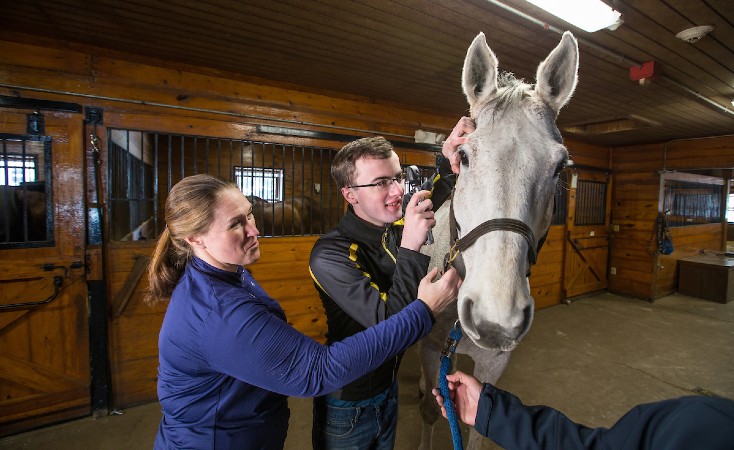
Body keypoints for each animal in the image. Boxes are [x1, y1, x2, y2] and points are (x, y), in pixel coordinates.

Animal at [416, 29, 576, 448]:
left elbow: (477, 423)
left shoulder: (494, 363)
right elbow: (430, 410)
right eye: (464, 156)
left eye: (560, 167)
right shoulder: (431, 348)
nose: (495, 322)